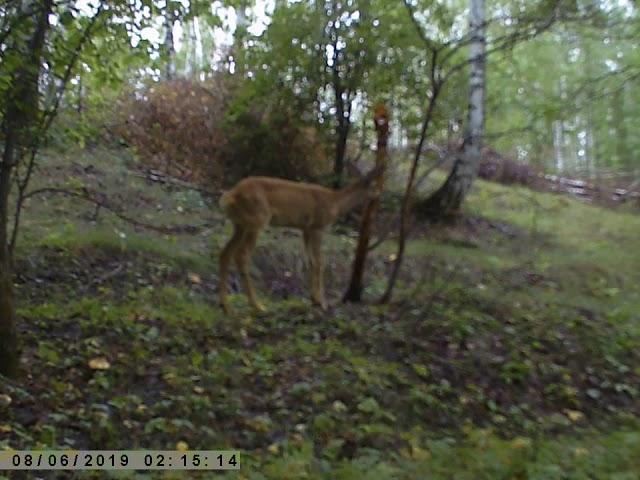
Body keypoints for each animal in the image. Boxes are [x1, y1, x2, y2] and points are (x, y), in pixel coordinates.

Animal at [218, 165, 382, 316]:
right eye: (374, 185)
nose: (379, 196)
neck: (335, 203)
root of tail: (230, 196)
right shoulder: (317, 227)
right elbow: (320, 262)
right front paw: (322, 302)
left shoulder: (305, 229)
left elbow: (310, 261)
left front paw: (314, 299)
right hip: (257, 220)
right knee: (242, 254)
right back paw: (257, 305)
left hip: (240, 224)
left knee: (225, 253)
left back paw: (226, 307)